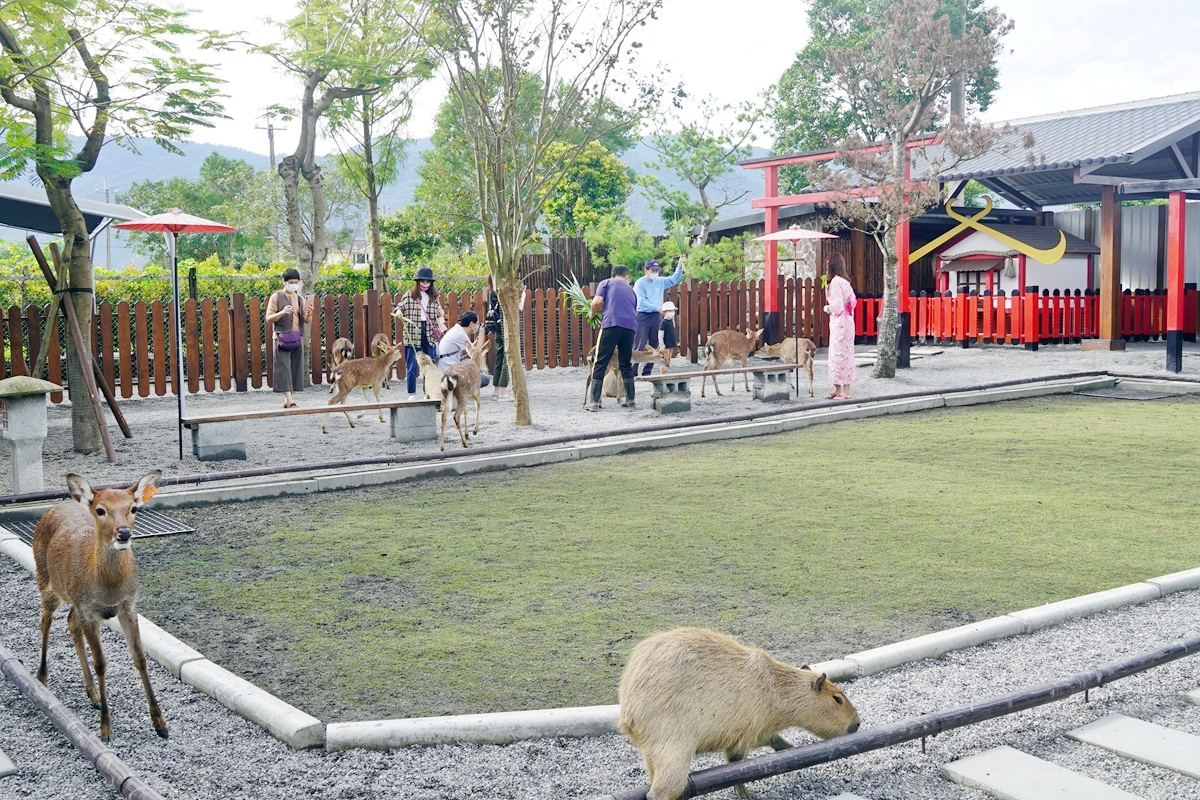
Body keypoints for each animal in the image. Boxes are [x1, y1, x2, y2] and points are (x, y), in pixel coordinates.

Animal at [32, 470, 166, 743]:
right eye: (101, 510)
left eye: (133, 508)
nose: (123, 533)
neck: (108, 590)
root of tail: (56, 505)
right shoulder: (89, 610)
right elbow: (101, 663)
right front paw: (105, 729)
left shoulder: (128, 606)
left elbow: (140, 658)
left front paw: (160, 724)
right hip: (46, 580)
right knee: (45, 621)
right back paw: (42, 679)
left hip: (72, 600)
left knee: (70, 623)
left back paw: (92, 693)